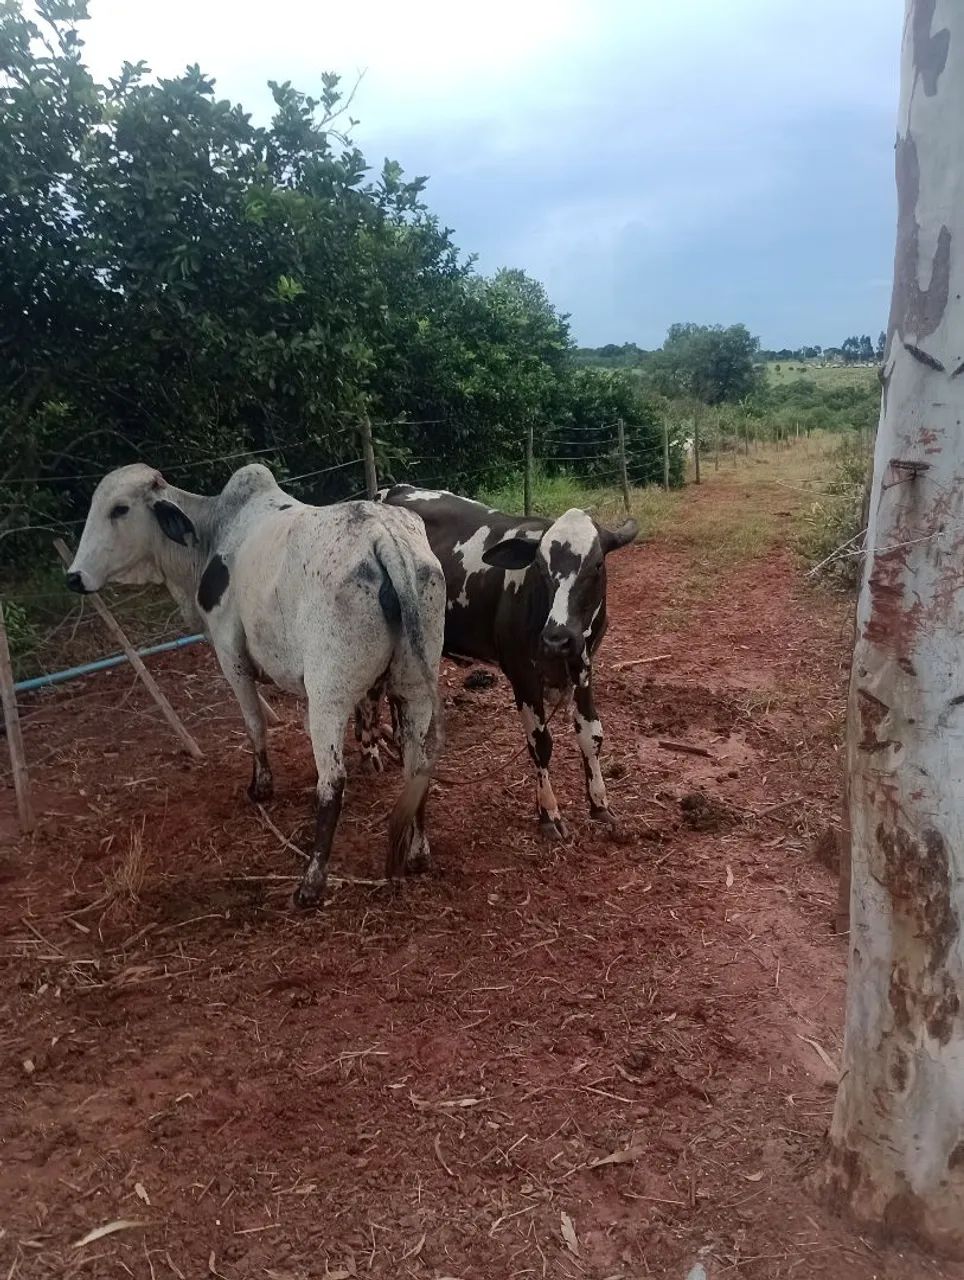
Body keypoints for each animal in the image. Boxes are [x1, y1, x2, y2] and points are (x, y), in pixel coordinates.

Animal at [65, 463, 445, 908]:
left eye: (120, 508)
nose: (74, 577)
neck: (213, 531)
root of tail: (384, 539)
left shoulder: (231, 656)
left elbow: (254, 724)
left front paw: (261, 786)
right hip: (415, 686)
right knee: (417, 766)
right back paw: (418, 854)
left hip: (327, 696)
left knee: (332, 781)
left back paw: (311, 882)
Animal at [358, 485, 637, 838]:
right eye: (540, 567)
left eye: (597, 564)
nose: (557, 638)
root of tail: (389, 491)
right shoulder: (523, 674)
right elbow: (540, 743)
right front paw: (549, 813)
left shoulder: (585, 667)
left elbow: (591, 735)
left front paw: (600, 804)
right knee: (368, 693)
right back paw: (370, 754)